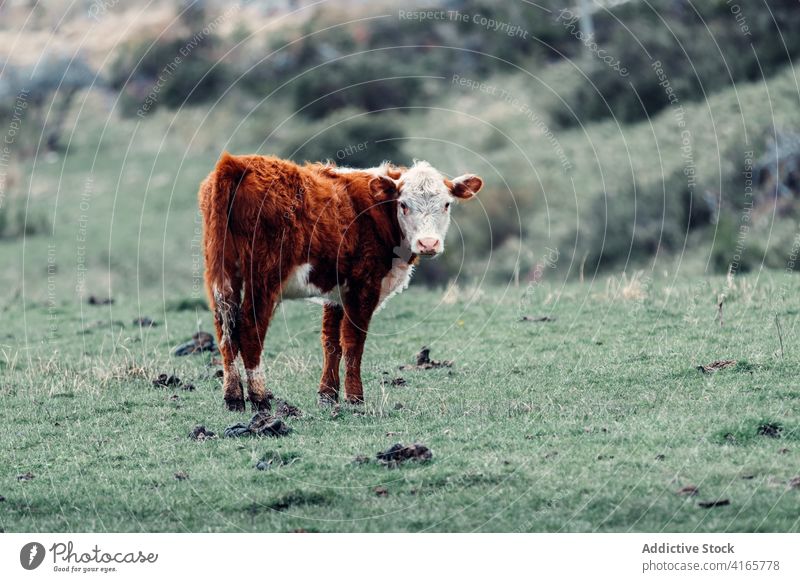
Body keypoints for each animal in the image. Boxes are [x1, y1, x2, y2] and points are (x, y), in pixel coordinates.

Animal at [198, 154, 482, 410]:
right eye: (403, 205)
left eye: (446, 204)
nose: (428, 243)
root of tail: (236, 163)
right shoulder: (364, 285)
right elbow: (354, 340)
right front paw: (355, 397)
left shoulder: (337, 291)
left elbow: (331, 342)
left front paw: (327, 395)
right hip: (263, 276)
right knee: (249, 327)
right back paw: (259, 397)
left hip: (220, 273)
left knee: (224, 330)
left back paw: (233, 397)